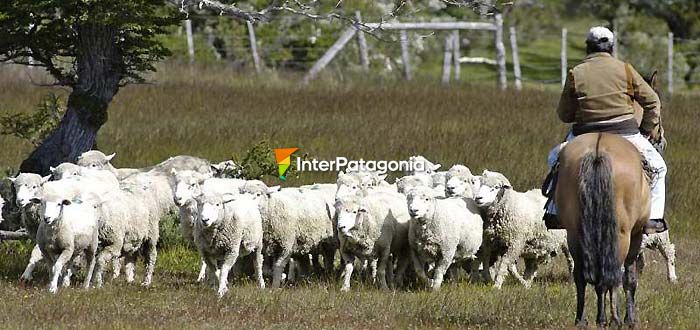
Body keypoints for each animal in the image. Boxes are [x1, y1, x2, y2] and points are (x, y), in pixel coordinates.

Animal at [556, 133, 652, 326]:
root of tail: (597, 153)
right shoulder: (636, 235)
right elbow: (629, 279)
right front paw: (630, 319)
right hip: (620, 236)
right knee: (612, 277)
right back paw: (612, 319)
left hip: (575, 234)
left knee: (582, 277)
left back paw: (582, 320)